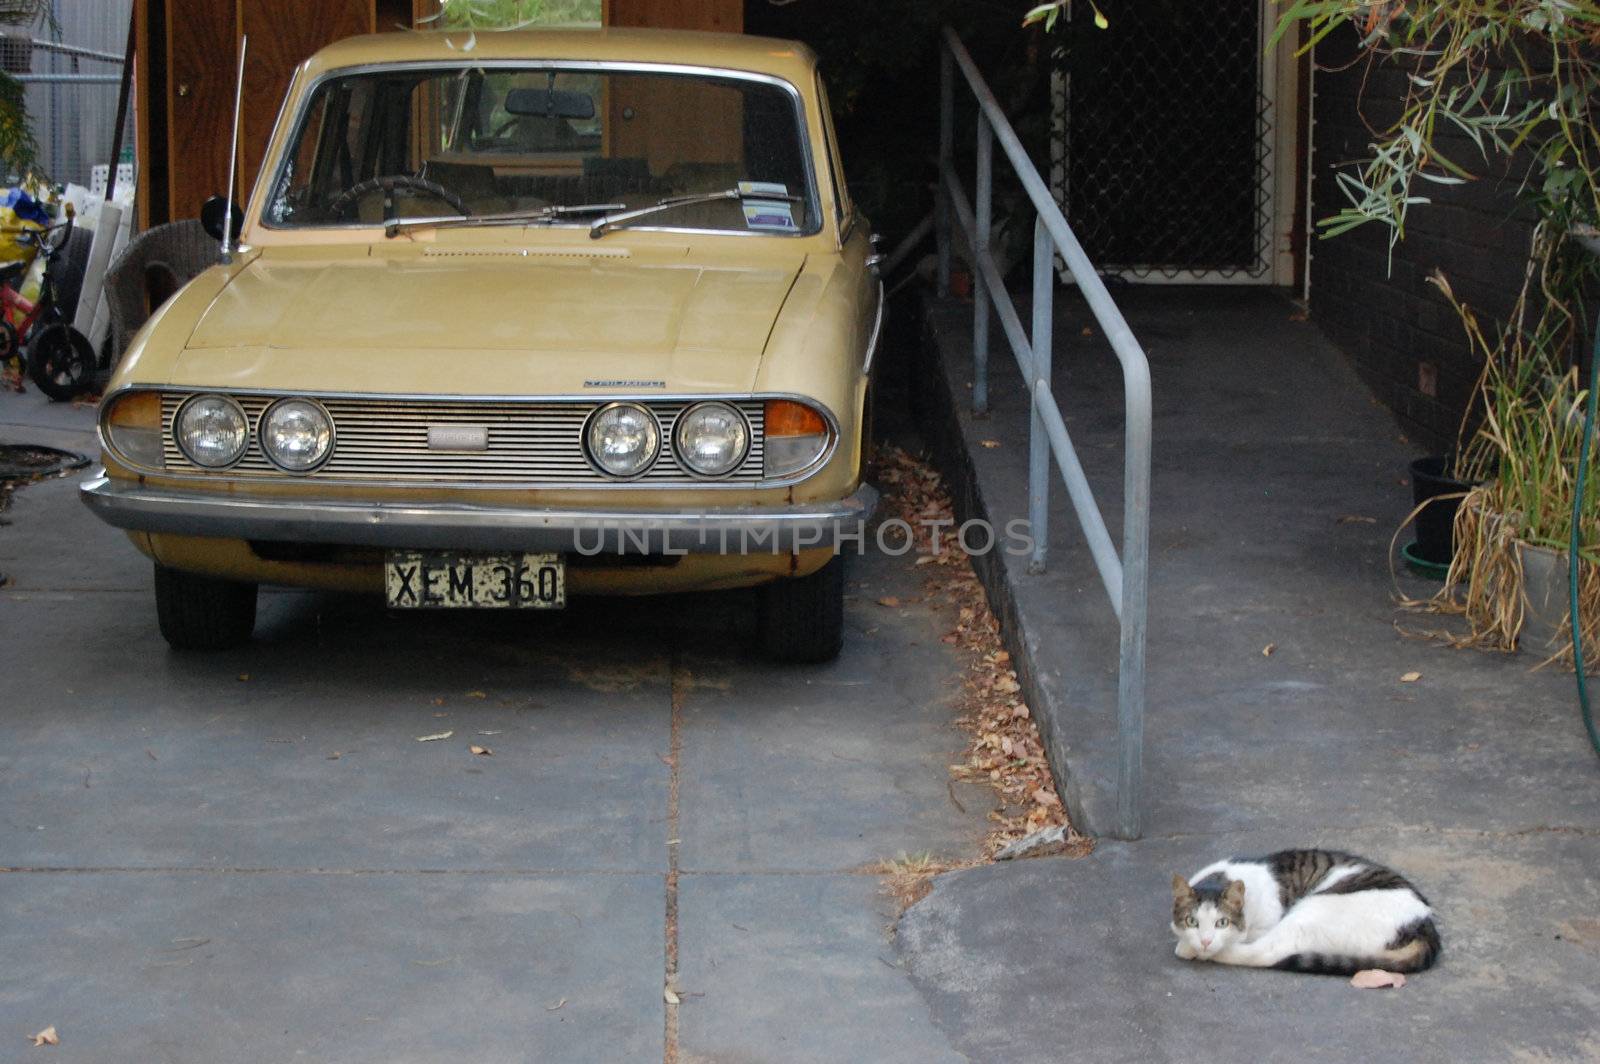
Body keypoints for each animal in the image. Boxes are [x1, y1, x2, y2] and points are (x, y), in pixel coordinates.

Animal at [1171, 844, 1446, 972]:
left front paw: (1192, 947)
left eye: (1222, 923)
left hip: (1310, 912)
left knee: (1267, 952)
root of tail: (1424, 923)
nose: (1205, 941)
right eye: (1192, 922)